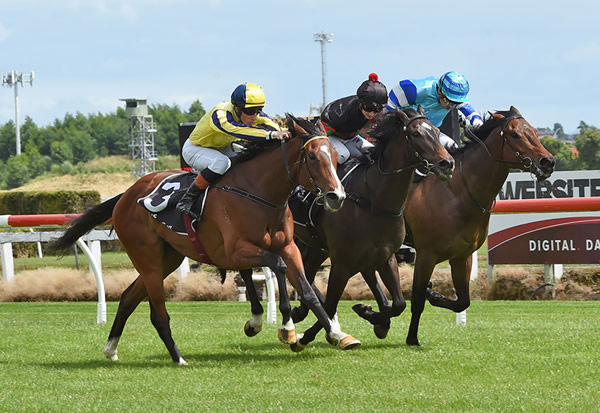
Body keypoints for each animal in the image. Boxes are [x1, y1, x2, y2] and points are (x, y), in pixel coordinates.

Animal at [52, 114, 352, 362]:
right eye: (312, 157)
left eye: (335, 155)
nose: (337, 196)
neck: (258, 192)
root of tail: (126, 196)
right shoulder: (236, 251)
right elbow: (276, 267)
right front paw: (287, 329)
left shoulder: (289, 247)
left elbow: (308, 290)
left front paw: (336, 334)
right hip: (148, 260)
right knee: (158, 312)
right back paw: (178, 358)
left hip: (167, 259)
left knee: (127, 298)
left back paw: (111, 349)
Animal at [286, 107, 454, 350]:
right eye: (415, 134)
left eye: (437, 131)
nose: (447, 163)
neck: (375, 200)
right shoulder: (343, 262)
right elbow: (331, 304)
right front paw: (310, 335)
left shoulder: (385, 256)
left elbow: (399, 303)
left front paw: (370, 314)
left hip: (317, 246)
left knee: (307, 272)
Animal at [354, 105, 556, 344]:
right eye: (514, 134)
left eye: (534, 131)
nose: (547, 162)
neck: (458, 193)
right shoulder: (426, 255)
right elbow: (418, 300)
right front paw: (412, 338)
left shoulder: (462, 255)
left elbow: (462, 301)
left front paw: (433, 294)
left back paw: (379, 319)